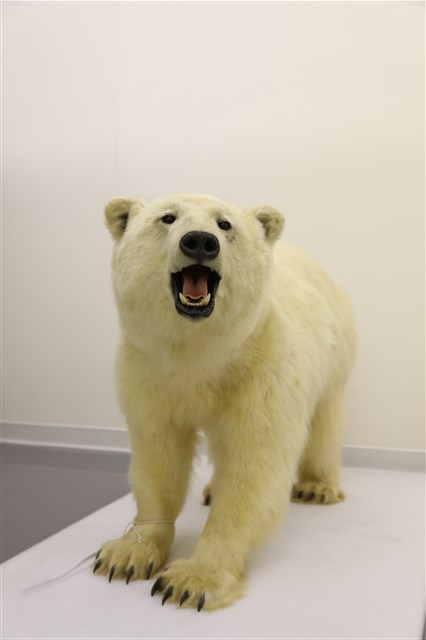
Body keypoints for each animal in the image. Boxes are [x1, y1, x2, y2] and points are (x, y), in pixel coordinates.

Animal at [94, 193, 356, 611]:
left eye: (225, 224)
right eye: (167, 218)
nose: (200, 242)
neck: (202, 354)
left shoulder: (263, 368)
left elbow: (254, 468)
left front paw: (191, 580)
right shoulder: (149, 373)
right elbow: (158, 458)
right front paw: (128, 553)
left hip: (335, 348)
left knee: (326, 420)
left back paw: (317, 486)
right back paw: (211, 489)